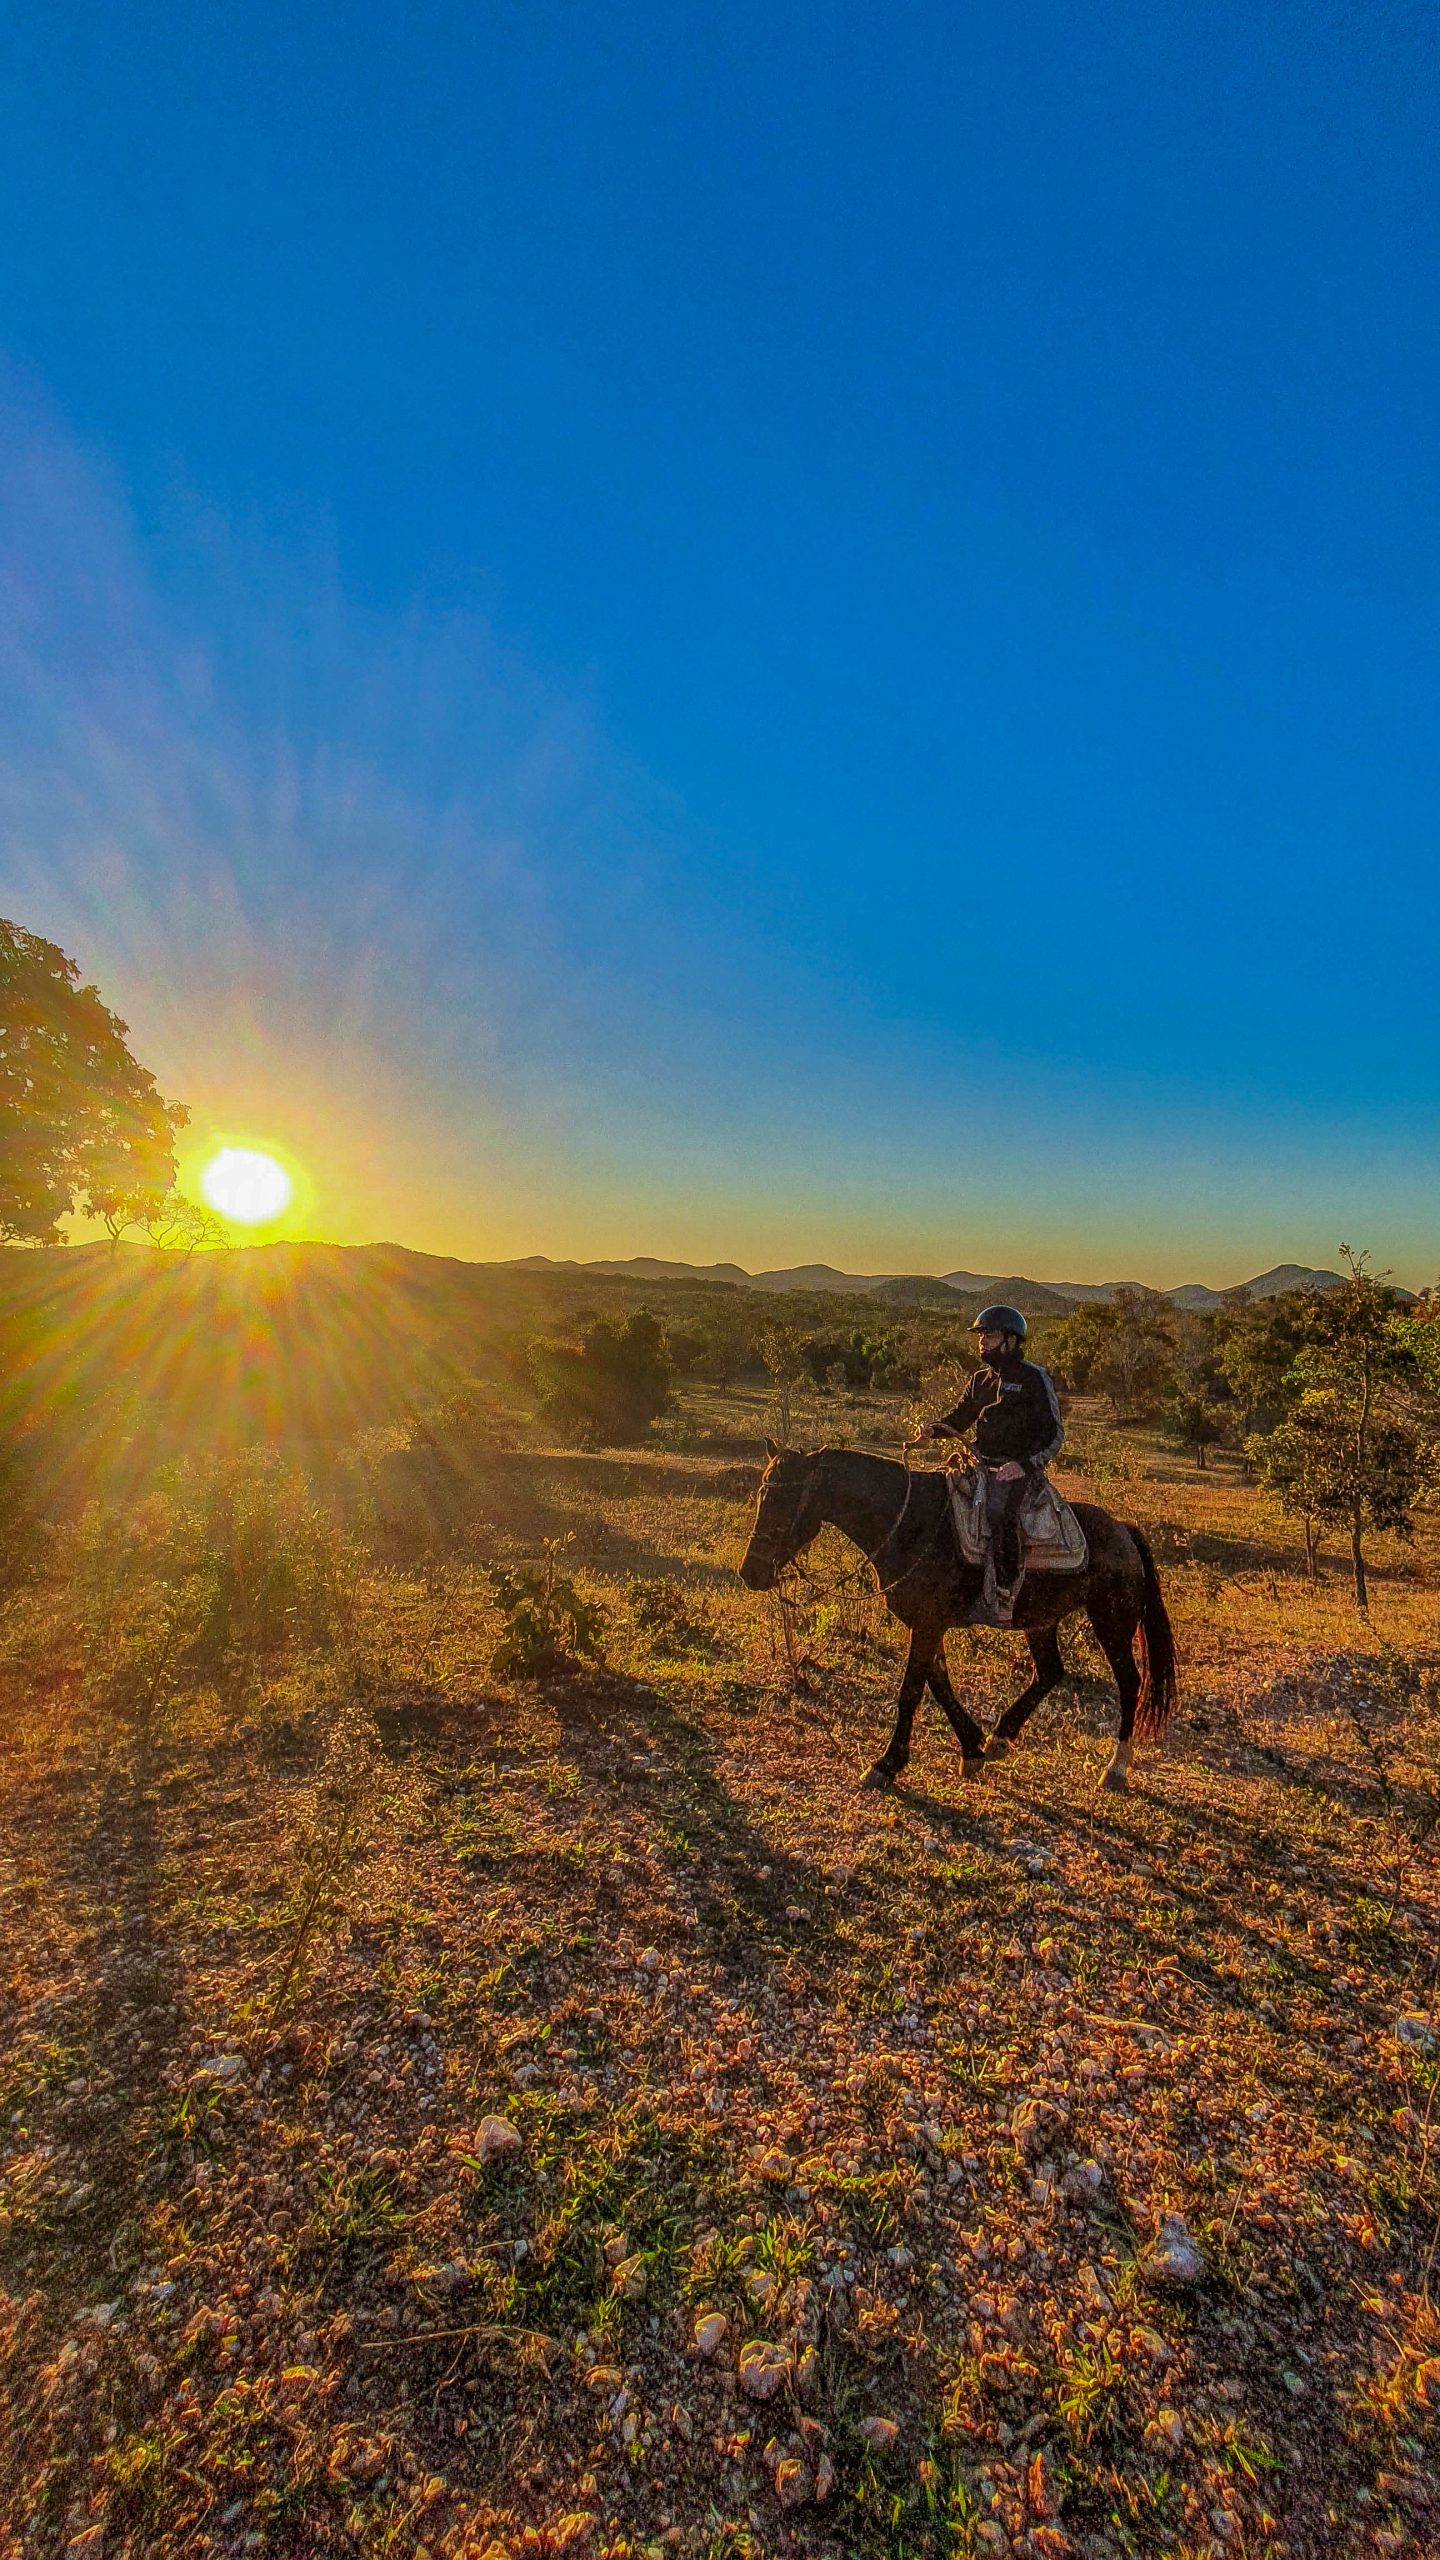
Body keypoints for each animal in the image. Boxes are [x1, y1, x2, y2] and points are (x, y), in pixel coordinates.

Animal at [732, 1443, 1173, 1802]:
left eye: (786, 1499)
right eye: (762, 1493)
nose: (750, 1572)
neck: (910, 1524)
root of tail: (1123, 1531)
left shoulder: (928, 1624)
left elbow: (912, 1691)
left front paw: (886, 1765)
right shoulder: (928, 1623)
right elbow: (939, 1684)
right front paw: (973, 1748)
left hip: (1112, 1621)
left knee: (1129, 1682)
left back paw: (1115, 1768)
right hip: (1041, 1620)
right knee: (1050, 1672)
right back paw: (1001, 1739)